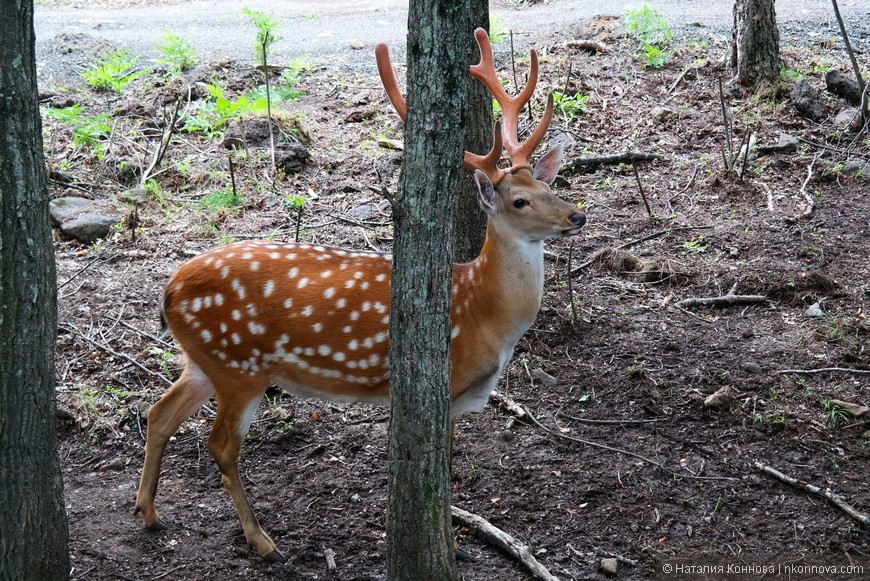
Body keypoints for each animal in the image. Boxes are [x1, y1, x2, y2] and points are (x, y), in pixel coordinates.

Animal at [136, 29, 584, 564]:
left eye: (546, 183)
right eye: (519, 200)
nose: (577, 215)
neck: (484, 312)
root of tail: (168, 290)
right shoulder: (449, 384)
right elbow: (444, 462)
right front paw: (452, 536)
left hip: (205, 359)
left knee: (158, 414)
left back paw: (149, 513)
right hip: (239, 365)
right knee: (219, 445)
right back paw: (263, 541)